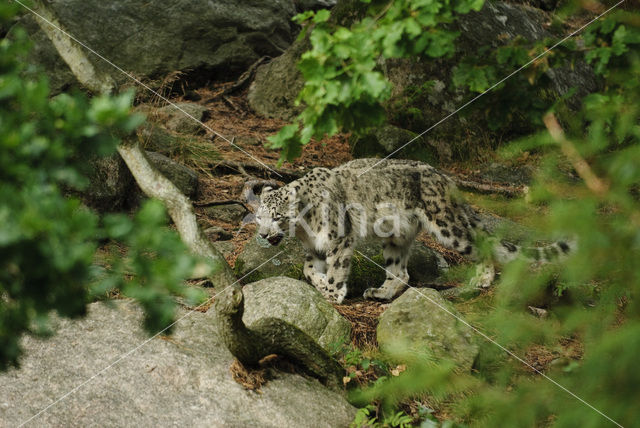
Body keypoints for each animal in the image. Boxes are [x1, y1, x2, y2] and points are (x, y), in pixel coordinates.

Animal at [252, 158, 572, 304]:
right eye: (258, 217)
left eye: (277, 216)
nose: (264, 235)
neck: (304, 231)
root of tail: (445, 178)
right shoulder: (314, 248)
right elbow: (308, 270)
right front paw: (318, 283)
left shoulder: (339, 240)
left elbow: (336, 270)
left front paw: (332, 294)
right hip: (395, 237)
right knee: (400, 271)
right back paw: (380, 292)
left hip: (446, 225)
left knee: (477, 245)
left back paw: (481, 279)